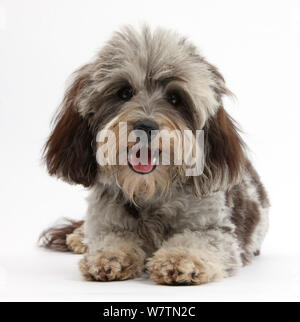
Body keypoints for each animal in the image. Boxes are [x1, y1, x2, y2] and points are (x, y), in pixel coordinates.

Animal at [39, 26, 270, 286]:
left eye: (175, 99)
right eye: (124, 92)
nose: (146, 126)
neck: (150, 192)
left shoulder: (216, 231)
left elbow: (196, 241)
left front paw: (180, 259)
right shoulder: (106, 220)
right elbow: (111, 238)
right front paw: (109, 255)